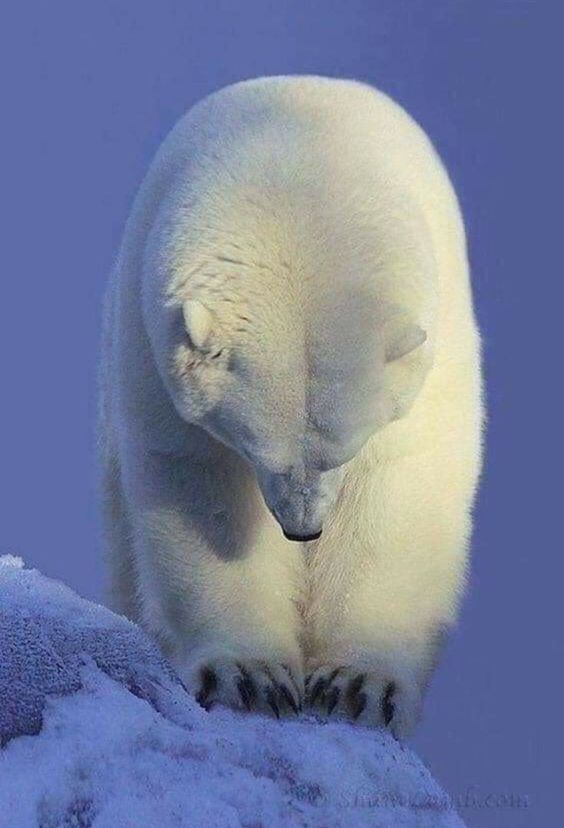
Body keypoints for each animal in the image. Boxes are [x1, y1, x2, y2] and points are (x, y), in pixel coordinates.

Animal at [98, 76, 483, 738]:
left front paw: (357, 686)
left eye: (344, 449)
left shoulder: (432, 354)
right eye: (255, 446)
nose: (303, 529)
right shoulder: (152, 351)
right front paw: (248, 678)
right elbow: (202, 490)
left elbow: (401, 489)